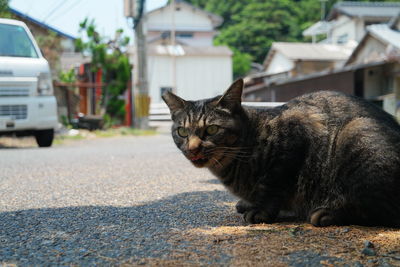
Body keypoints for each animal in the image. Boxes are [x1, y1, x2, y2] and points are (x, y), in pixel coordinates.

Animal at [161, 79, 400, 228]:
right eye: (182, 131)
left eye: (211, 129)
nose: (193, 148)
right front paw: (248, 203)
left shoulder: (294, 139)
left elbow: (271, 185)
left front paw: (261, 210)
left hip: (356, 131)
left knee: (382, 210)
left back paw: (329, 213)